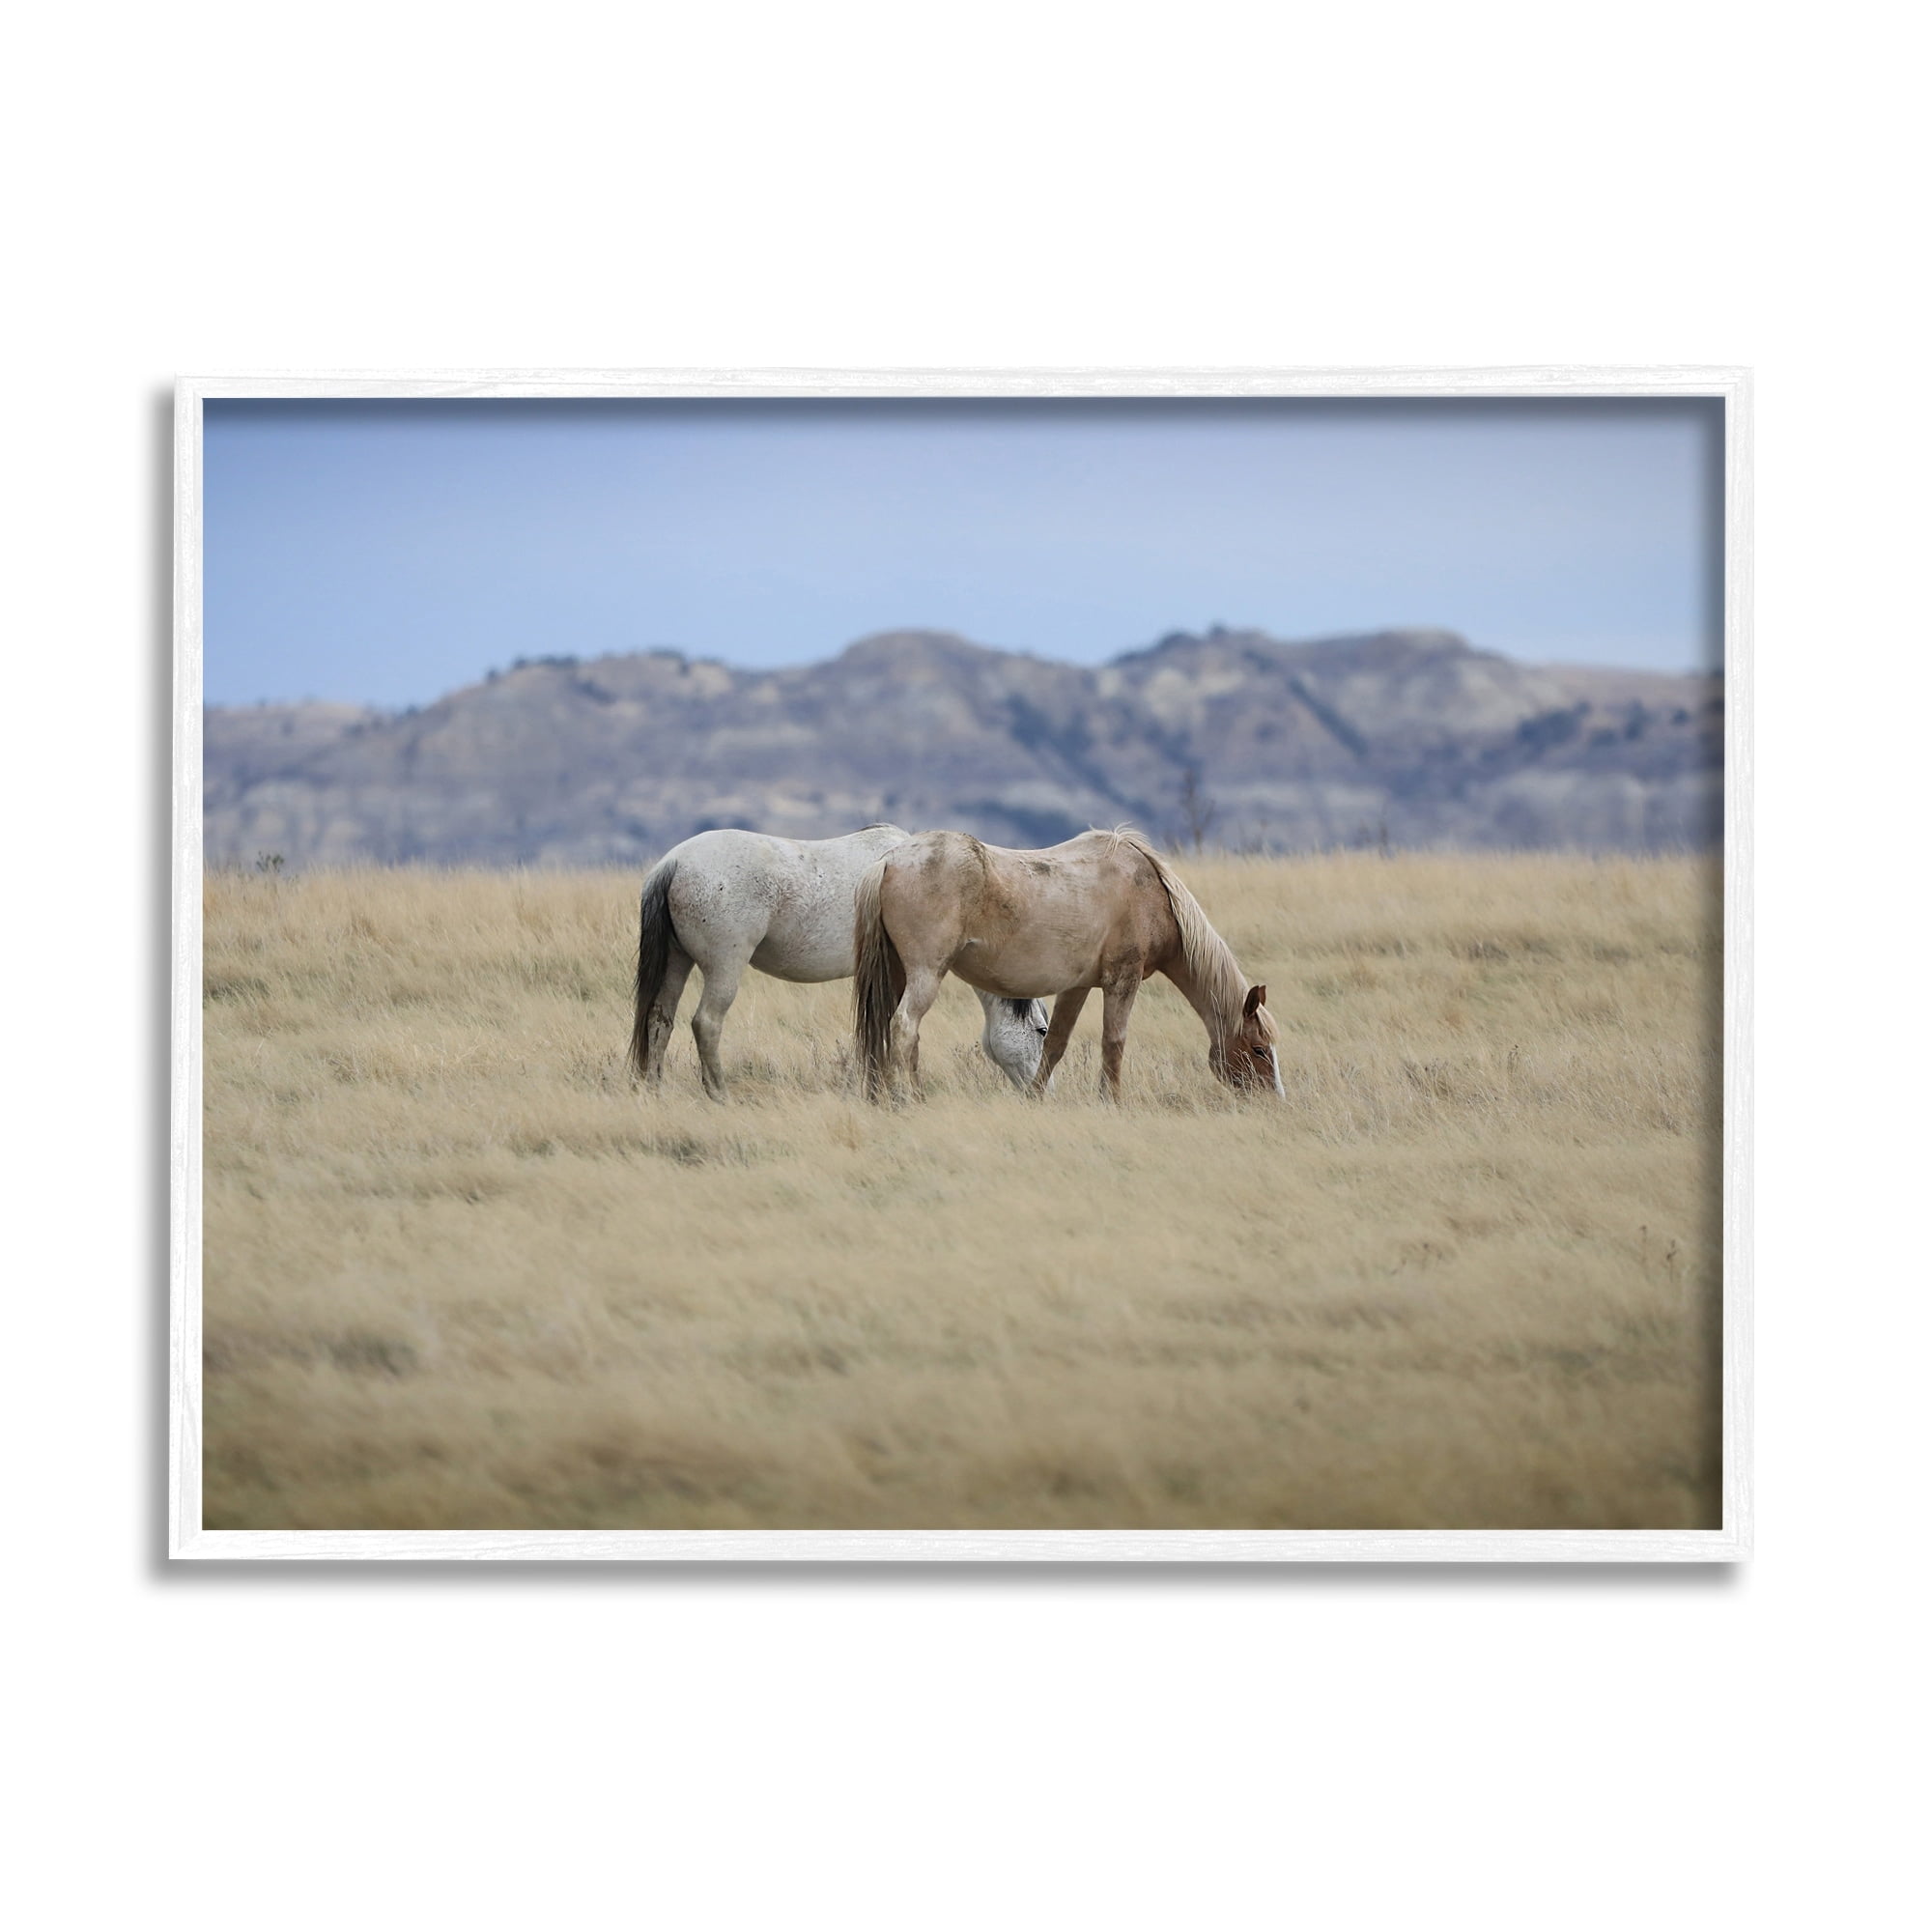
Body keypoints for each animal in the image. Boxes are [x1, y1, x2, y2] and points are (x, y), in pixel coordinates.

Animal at [629, 824, 1049, 1101]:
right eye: (1042, 1031)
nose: (1041, 1090)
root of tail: (674, 862)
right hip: (725, 967)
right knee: (706, 1023)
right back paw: (719, 1093)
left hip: (677, 962)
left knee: (659, 1019)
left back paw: (654, 1089)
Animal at [854, 827, 1283, 1104]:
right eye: (1260, 1050)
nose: (1275, 1100)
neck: (1151, 895)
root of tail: (888, 862)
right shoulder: (1122, 980)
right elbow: (1114, 1042)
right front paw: (1112, 1101)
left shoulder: (1076, 987)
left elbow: (1056, 1044)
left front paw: (1035, 1098)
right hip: (926, 975)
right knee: (905, 1027)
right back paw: (911, 1097)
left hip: (896, 976)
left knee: (882, 1028)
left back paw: (881, 1095)